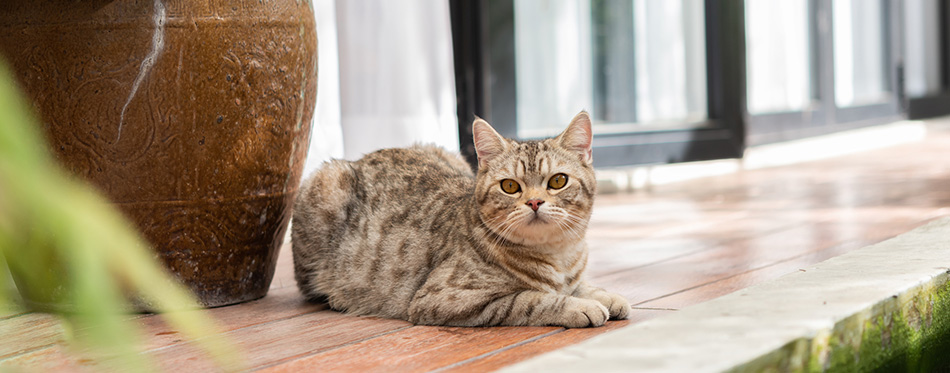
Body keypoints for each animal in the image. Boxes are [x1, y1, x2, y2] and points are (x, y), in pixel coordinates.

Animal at [290, 110, 632, 326]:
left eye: (558, 181)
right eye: (510, 186)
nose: (535, 201)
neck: (558, 254)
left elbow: (580, 285)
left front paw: (605, 296)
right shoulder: (445, 298)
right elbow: (532, 299)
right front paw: (580, 306)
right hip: (327, 185)